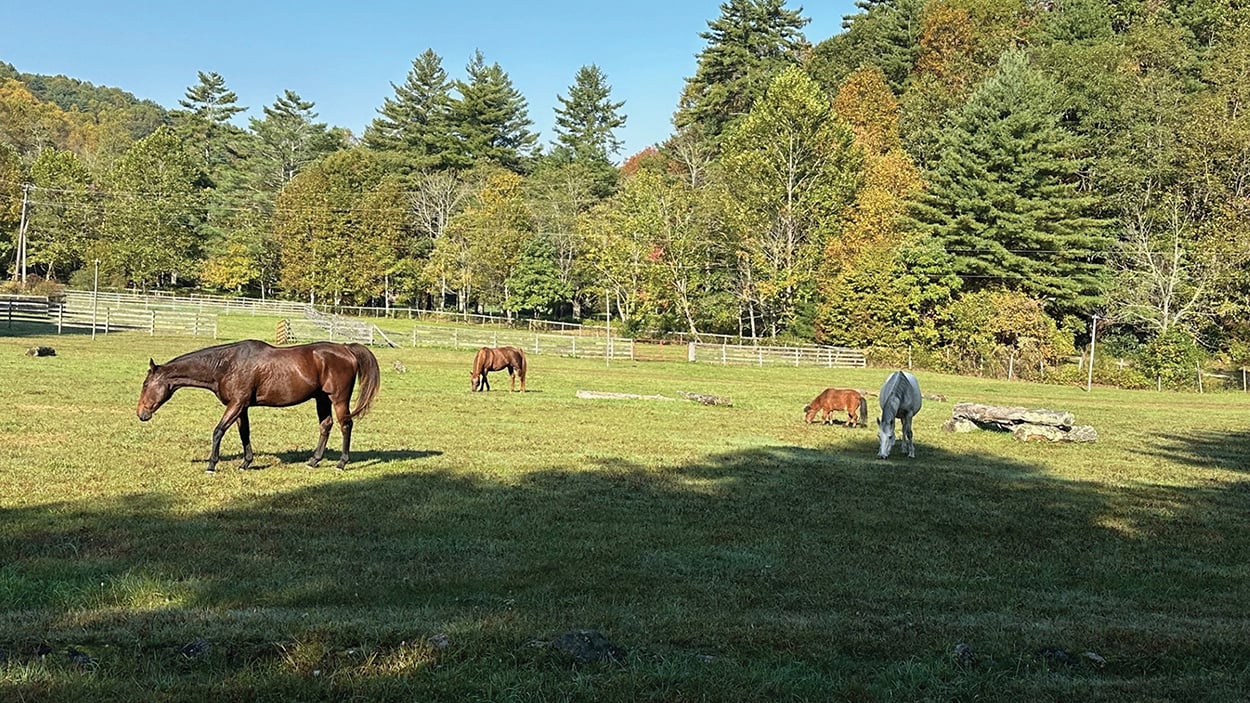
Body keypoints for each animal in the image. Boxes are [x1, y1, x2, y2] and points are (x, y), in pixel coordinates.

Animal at [137, 340, 380, 470]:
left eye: (145, 384)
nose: (141, 413)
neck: (226, 365)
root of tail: (346, 349)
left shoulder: (236, 404)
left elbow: (218, 431)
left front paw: (212, 464)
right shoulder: (241, 407)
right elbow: (244, 433)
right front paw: (245, 463)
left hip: (338, 399)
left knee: (345, 425)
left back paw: (342, 463)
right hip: (321, 398)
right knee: (326, 425)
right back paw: (313, 460)